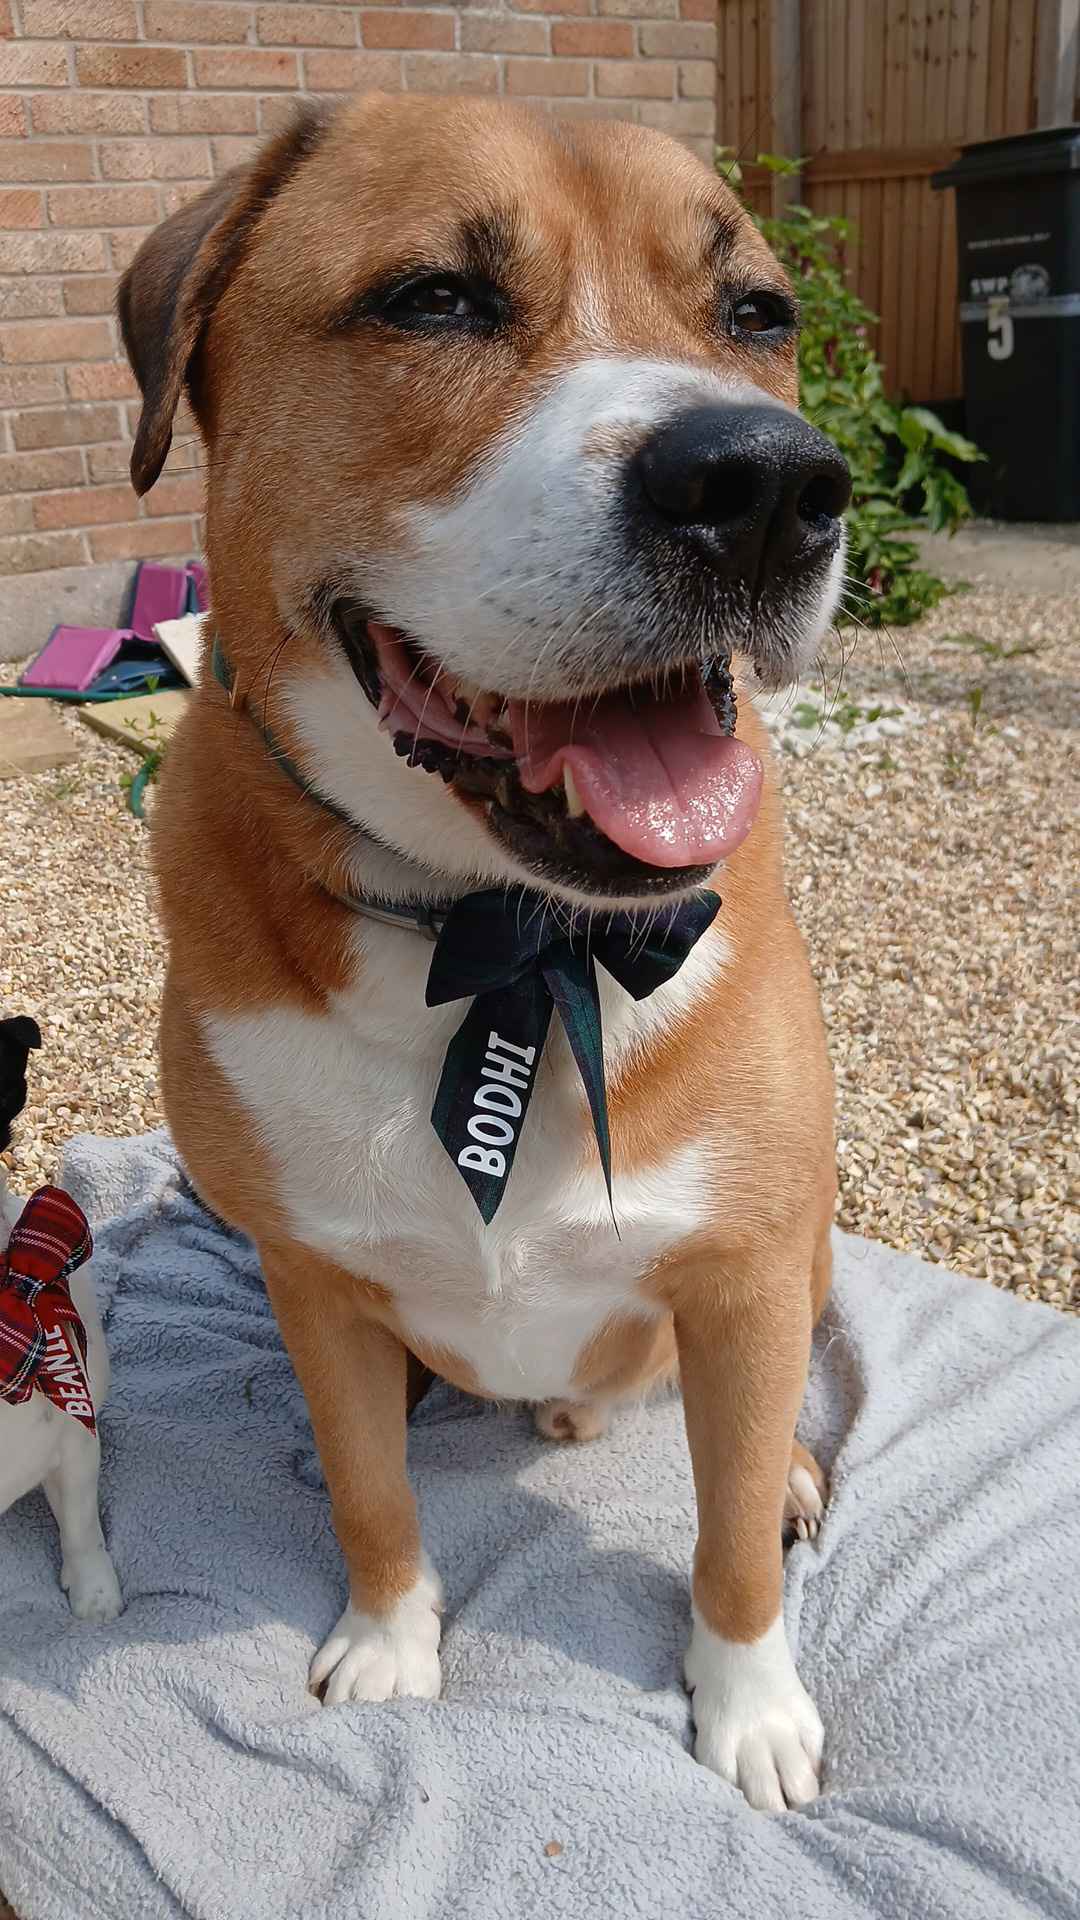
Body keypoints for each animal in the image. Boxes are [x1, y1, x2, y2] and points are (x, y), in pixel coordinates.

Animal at [122, 97, 845, 1804]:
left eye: (757, 314)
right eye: (435, 299)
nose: (768, 483)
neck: (502, 938)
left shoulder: (745, 1269)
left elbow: (728, 1538)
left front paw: (747, 1701)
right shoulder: (314, 1280)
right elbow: (369, 1488)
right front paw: (392, 1639)